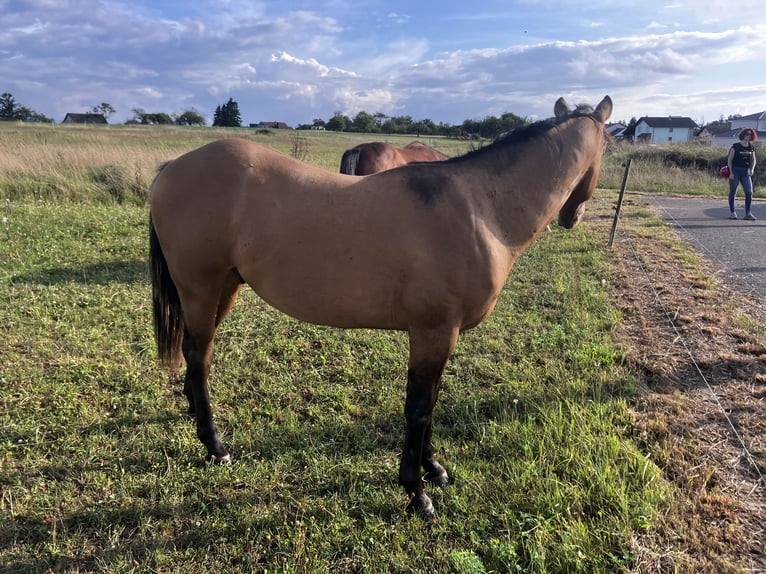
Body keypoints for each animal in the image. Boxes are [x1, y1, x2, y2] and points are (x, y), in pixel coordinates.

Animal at [149, 95, 613, 519]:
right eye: (608, 146)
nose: (573, 217)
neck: (480, 211)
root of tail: (172, 168)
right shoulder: (433, 332)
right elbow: (419, 409)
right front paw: (416, 491)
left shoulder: (441, 336)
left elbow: (431, 402)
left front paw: (434, 469)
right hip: (201, 287)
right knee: (199, 355)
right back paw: (214, 445)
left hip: (224, 287)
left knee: (197, 353)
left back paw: (194, 411)